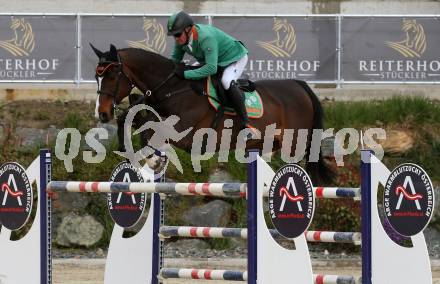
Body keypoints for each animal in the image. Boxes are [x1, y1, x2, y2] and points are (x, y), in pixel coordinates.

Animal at [92, 43, 334, 183]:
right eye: (96, 77)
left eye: (112, 75)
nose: (102, 113)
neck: (173, 88)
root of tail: (299, 85)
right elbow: (134, 119)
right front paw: (132, 150)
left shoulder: (186, 136)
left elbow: (153, 131)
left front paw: (148, 156)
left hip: (293, 146)